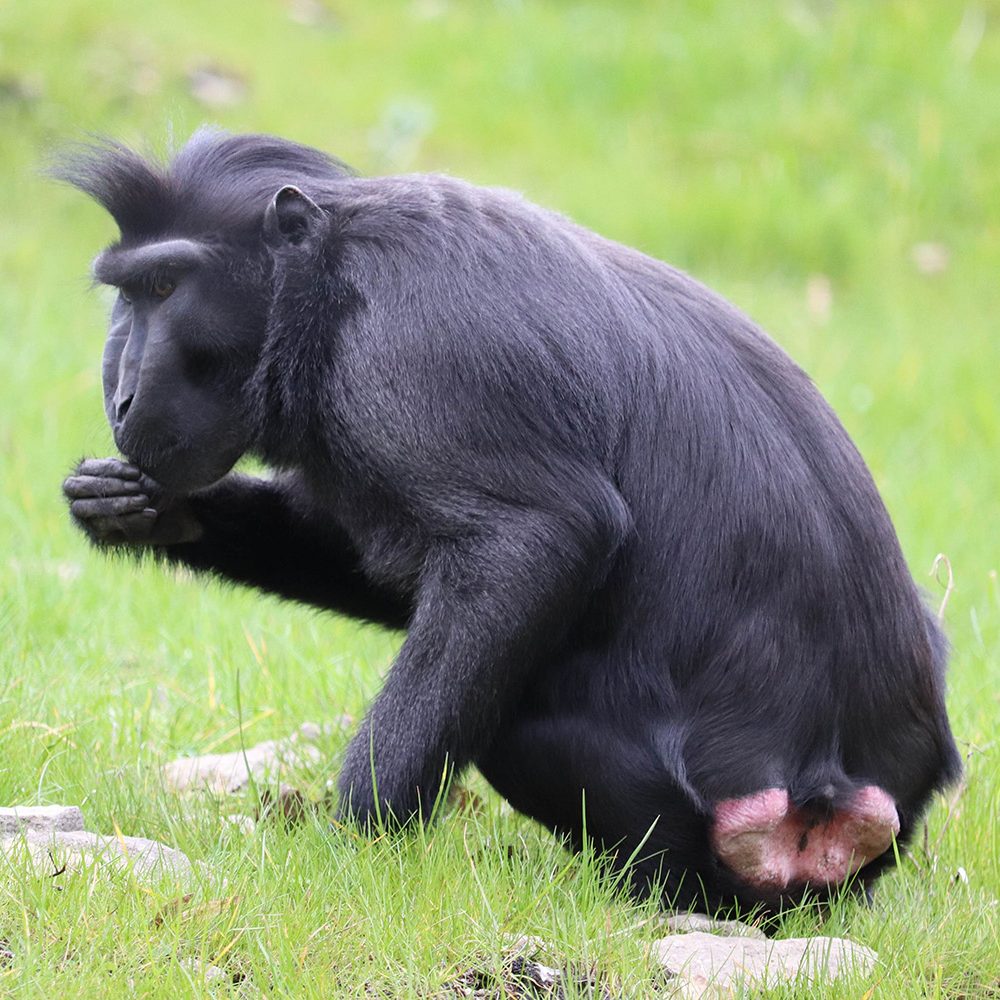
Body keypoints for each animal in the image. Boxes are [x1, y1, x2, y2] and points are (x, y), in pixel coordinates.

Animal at [60, 133, 960, 916]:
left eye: (166, 289)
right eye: (126, 295)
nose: (120, 393)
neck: (324, 274)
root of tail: (833, 789)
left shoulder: (408, 349)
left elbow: (534, 541)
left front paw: (353, 840)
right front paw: (153, 512)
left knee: (517, 712)